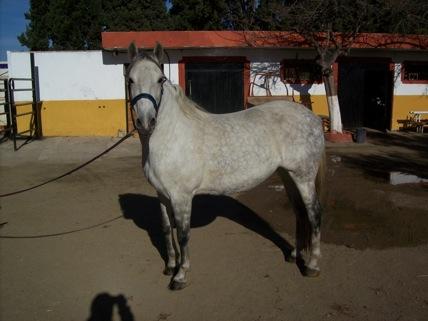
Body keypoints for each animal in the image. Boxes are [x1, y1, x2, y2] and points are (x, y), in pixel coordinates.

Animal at [126, 42, 324, 290]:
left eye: (160, 79)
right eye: (130, 79)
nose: (146, 122)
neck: (171, 135)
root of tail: (313, 118)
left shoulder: (182, 197)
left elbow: (183, 234)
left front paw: (180, 275)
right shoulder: (162, 194)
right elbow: (165, 229)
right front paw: (170, 266)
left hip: (304, 176)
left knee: (313, 214)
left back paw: (312, 266)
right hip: (287, 175)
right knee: (300, 213)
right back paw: (294, 255)